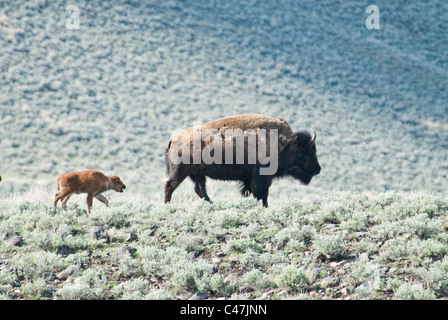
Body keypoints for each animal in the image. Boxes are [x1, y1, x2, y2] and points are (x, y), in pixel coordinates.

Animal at [163, 115, 320, 208]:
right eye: (308, 153)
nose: (318, 169)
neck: (287, 144)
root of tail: (174, 139)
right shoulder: (261, 177)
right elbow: (260, 193)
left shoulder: (250, 179)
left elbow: (252, 192)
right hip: (181, 172)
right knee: (170, 185)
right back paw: (167, 206)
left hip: (197, 174)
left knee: (199, 189)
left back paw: (211, 204)